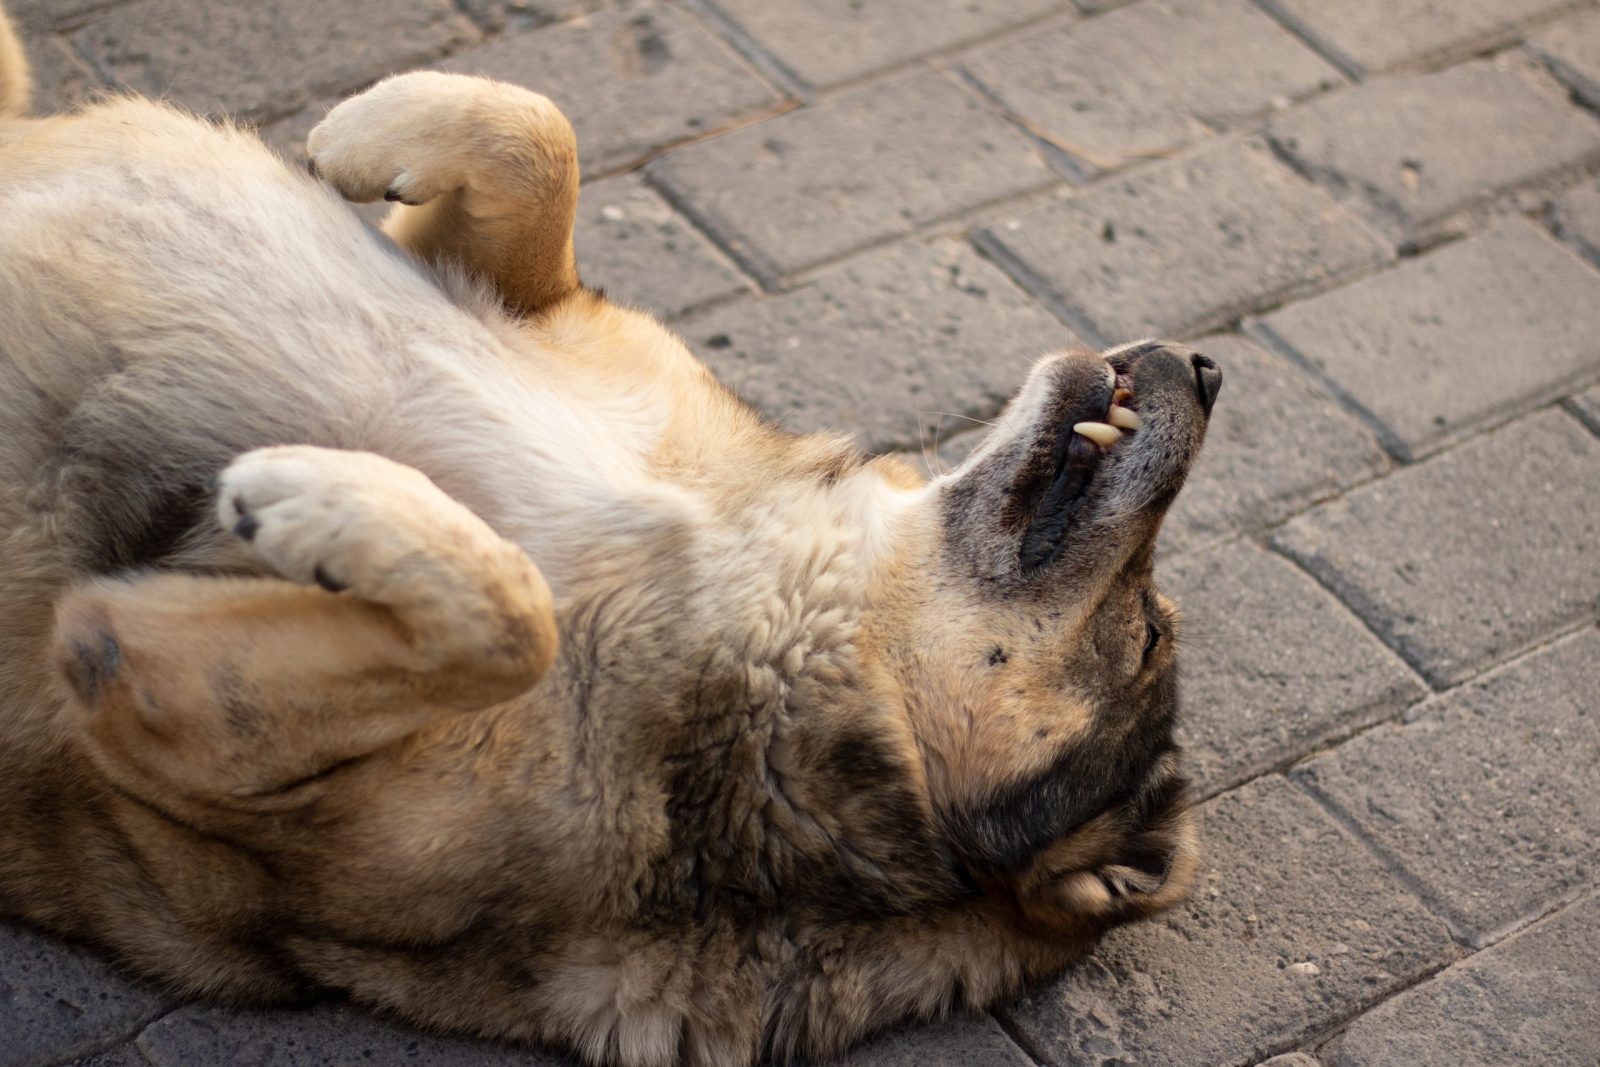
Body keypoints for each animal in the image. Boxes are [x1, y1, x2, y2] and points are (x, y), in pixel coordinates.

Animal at [0, 10, 1216, 1067]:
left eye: (1150, 637)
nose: (1208, 369)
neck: (769, 590)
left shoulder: (164, 706)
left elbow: (512, 614)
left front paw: (325, 501)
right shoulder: (535, 302)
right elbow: (540, 135)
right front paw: (359, 135)